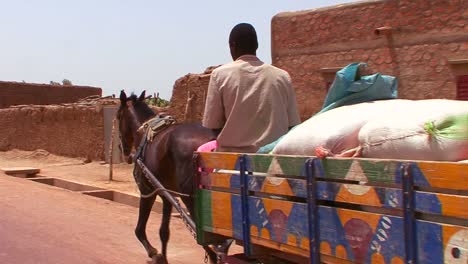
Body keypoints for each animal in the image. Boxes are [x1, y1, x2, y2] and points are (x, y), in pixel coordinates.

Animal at [117, 90, 230, 262]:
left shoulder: (147, 191)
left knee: (205, 234)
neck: (146, 133)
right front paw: (163, 256)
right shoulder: (167, 194)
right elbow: (164, 232)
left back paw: (214, 255)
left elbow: (140, 229)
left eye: (118, 116)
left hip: (190, 197)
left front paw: (154, 252)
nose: (123, 150)